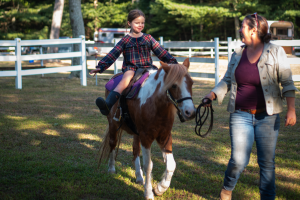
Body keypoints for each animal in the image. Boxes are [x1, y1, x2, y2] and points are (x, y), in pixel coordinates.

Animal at [98, 57, 195, 200]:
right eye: (173, 85)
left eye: (191, 83)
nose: (190, 112)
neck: (155, 104)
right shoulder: (146, 137)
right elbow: (148, 165)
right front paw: (149, 193)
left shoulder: (164, 136)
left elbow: (171, 164)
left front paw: (160, 188)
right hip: (113, 125)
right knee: (112, 145)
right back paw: (111, 169)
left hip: (136, 133)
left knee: (135, 151)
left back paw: (139, 177)